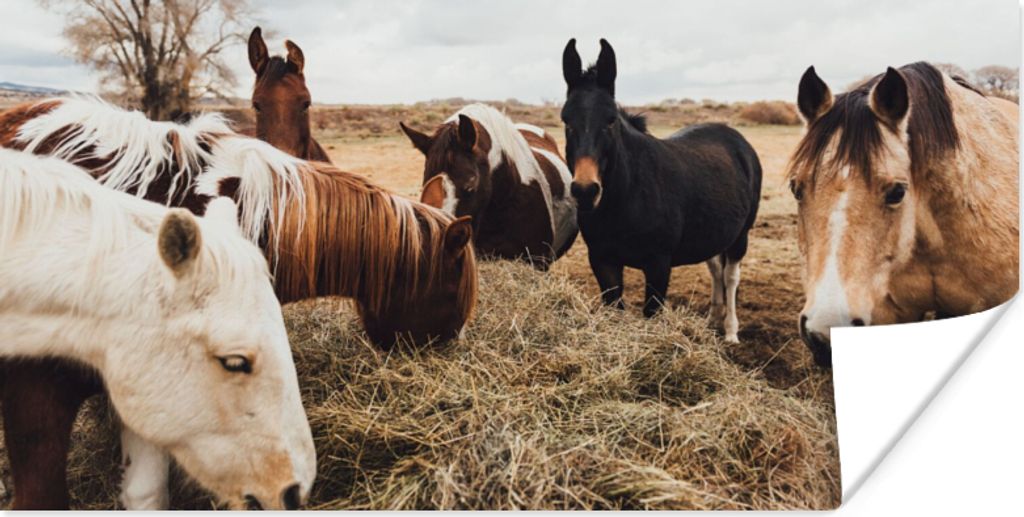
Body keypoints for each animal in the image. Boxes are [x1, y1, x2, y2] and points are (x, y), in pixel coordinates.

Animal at [560, 39, 762, 341]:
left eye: (610, 120)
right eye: (566, 121)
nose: (585, 191)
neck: (627, 197)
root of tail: (739, 141)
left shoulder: (658, 264)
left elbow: (651, 312)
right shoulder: (602, 260)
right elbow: (615, 307)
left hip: (741, 236)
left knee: (730, 277)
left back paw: (730, 332)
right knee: (716, 271)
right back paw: (712, 321)